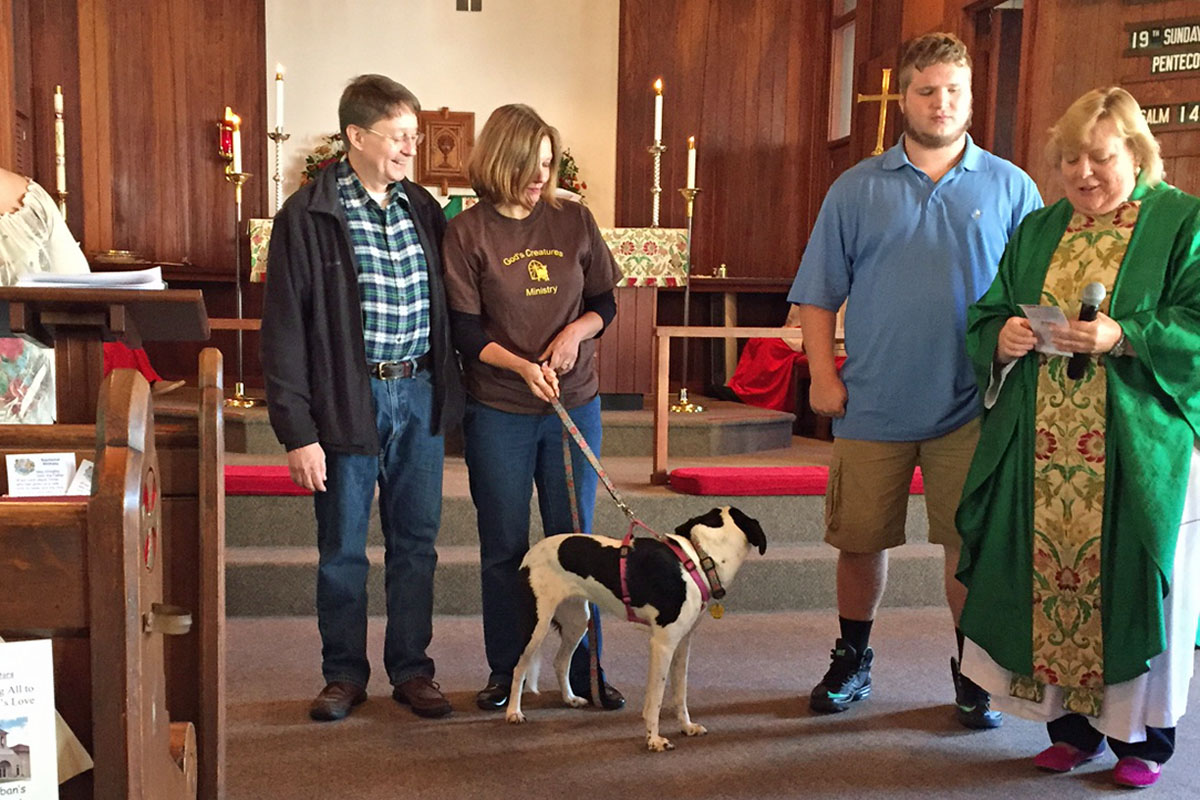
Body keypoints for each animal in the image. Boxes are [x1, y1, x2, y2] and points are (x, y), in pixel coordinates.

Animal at [506, 506, 768, 753]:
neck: (700, 559)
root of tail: (529, 554)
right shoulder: (662, 645)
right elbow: (656, 700)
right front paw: (654, 740)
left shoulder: (682, 643)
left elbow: (680, 694)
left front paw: (686, 727)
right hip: (537, 625)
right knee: (519, 667)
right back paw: (513, 712)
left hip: (577, 621)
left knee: (560, 662)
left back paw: (569, 699)